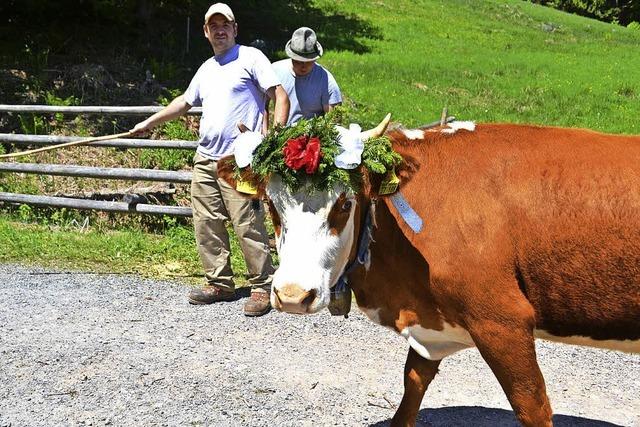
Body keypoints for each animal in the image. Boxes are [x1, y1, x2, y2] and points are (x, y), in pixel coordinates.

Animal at [218, 117, 636, 427]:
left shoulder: (503, 319)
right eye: (270, 204)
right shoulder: (430, 323)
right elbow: (411, 389)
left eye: (344, 203)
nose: (291, 295)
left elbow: (532, 405)